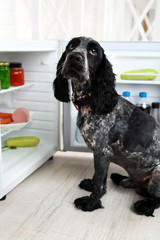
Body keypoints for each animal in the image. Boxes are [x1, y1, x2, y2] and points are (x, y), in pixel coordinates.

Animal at [53, 36, 160, 217]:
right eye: (71, 46)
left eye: (93, 51)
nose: (75, 57)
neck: (91, 100)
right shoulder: (102, 154)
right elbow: (99, 178)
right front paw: (92, 187)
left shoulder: (102, 152)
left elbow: (98, 182)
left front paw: (91, 203)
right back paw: (120, 179)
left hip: (157, 172)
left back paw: (145, 205)